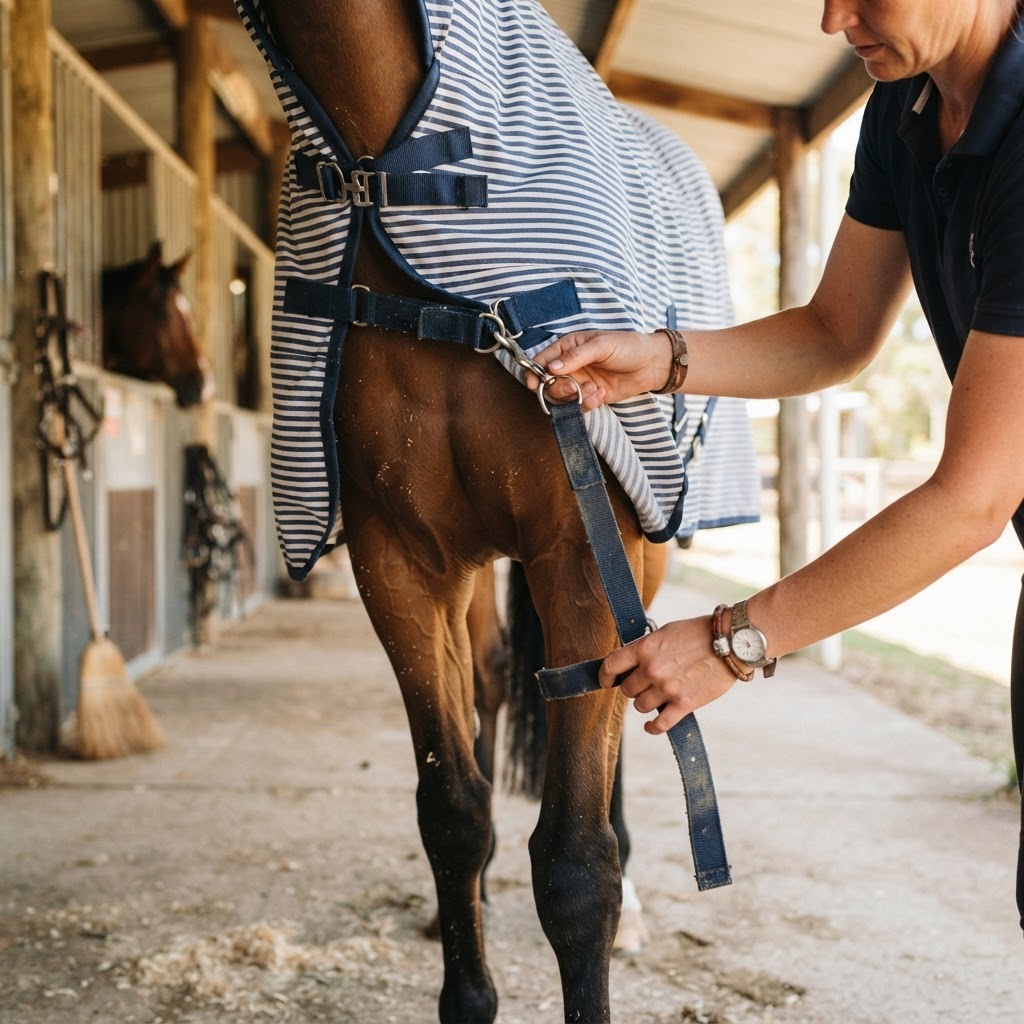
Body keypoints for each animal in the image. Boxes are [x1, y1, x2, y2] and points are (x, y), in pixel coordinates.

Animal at [236, 1, 757, 1019]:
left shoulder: (584, 556)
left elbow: (576, 865)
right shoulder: (402, 563)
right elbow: (453, 809)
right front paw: (466, 978)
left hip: (636, 558)